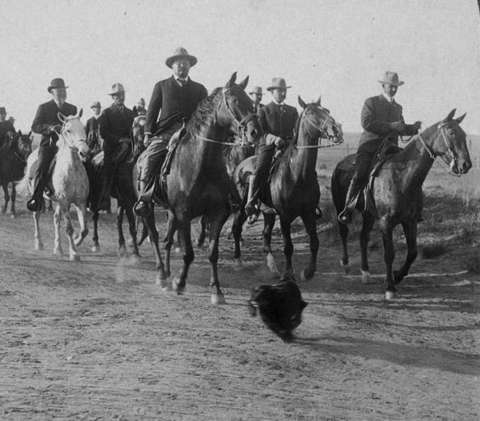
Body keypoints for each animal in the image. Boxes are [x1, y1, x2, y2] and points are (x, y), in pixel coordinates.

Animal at [23, 110, 90, 260]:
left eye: (83, 128)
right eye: (68, 130)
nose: (84, 152)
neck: (72, 170)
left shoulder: (80, 202)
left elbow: (84, 230)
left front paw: (77, 241)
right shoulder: (65, 201)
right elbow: (69, 228)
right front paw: (74, 253)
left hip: (58, 202)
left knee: (56, 220)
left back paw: (58, 248)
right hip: (38, 197)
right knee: (36, 216)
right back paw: (39, 243)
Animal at [143, 72, 262, 302]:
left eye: (251, 102)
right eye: (235, 100)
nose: (255, 132)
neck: (201, 164)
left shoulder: (217, 214)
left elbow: (212, 253)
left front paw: (216, 290)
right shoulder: (184, 213)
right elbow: (188, 252)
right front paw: (180, 283)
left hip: (171, 213)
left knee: (167, 241)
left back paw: (167, 274)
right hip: (148, 207)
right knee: (153, 235)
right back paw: (162, 275)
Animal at [232, 97, 342, 278]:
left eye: (326, 111)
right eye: (311, 113)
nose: (337, 130)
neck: (297, 174)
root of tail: (239, 167)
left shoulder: (308, 213)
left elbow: (314, 242)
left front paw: (308, 272)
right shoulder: (284, 216)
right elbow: (288, 247)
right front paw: (289, 273)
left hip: (268, 212)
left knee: (266, 234)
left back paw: (272, 267)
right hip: (241, 208)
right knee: (236, 228)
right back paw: (239, 261)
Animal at [332, 108, 470, 298]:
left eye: (464, 134)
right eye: (451, 132)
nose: (466, 164)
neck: (403, 177)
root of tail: (340, 164)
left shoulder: (410, 221)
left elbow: (412, 252)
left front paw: (397, 276)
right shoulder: (386, 223)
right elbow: (389, 254)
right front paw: (390, 287)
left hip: (368, 214)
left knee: (363, 237)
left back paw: (365, 272)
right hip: (340, 207)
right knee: (344, 231)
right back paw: (346, 263)